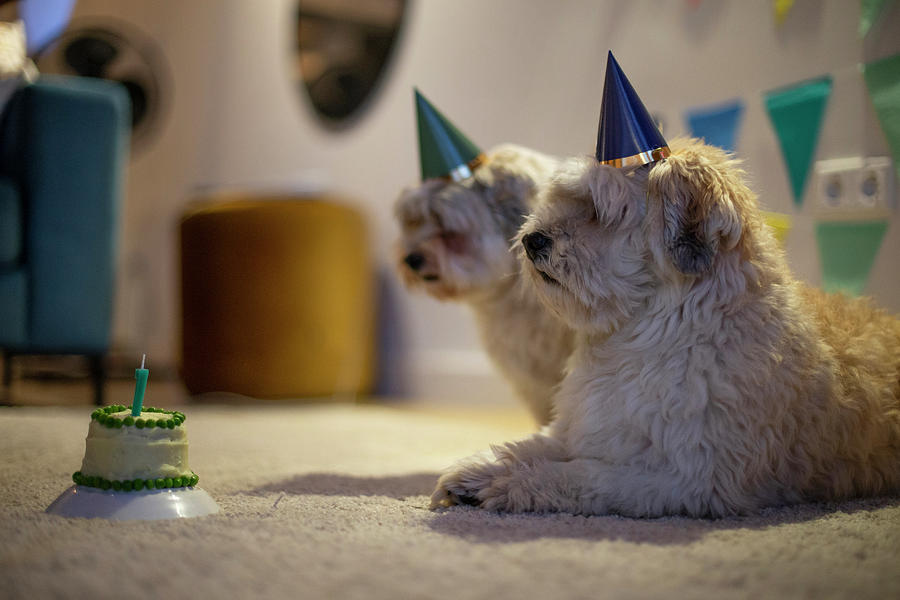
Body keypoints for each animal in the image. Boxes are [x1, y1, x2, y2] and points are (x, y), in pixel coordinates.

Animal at [430, 139, 900, 516]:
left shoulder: (689, 479)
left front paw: (508, 483)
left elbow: (579, 476)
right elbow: (529, 445)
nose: (531, 240)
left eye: (599, 212)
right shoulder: (581, 427)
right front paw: (479, 468)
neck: (638, 339)